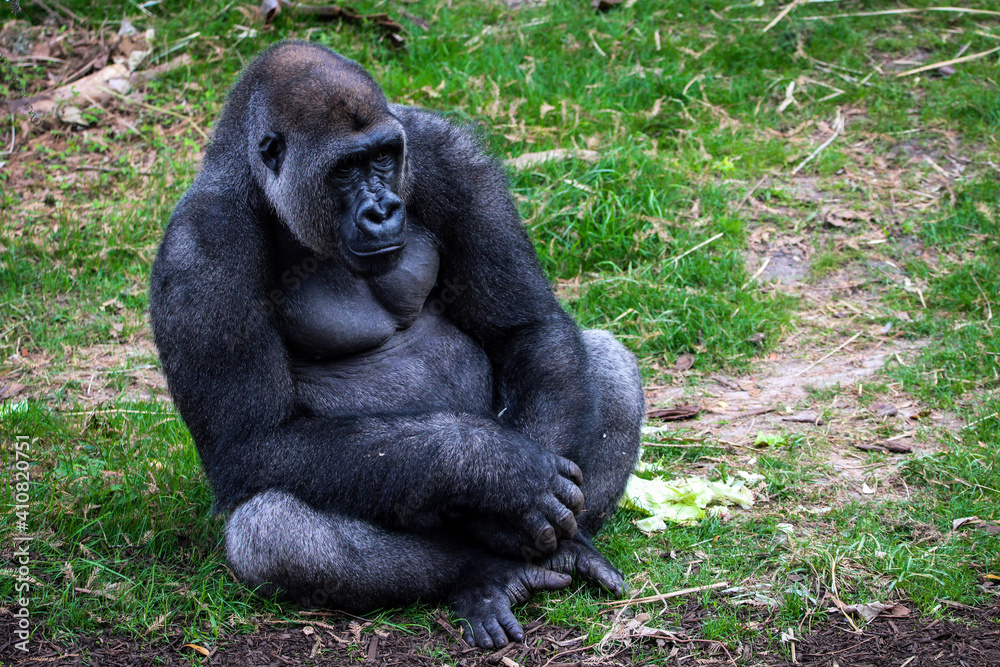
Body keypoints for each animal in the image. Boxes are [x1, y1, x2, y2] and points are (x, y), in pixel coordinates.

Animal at [149, 40, 643, 650]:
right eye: (345, 168)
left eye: (384, 156)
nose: (383, 209)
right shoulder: (200, 250)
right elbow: (254, 442)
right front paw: (497, 472)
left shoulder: (447, 153)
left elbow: (526, 326)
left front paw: (515, 496)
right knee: (272, 529)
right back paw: (484, 571)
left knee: (604, 360)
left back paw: (568, 547)